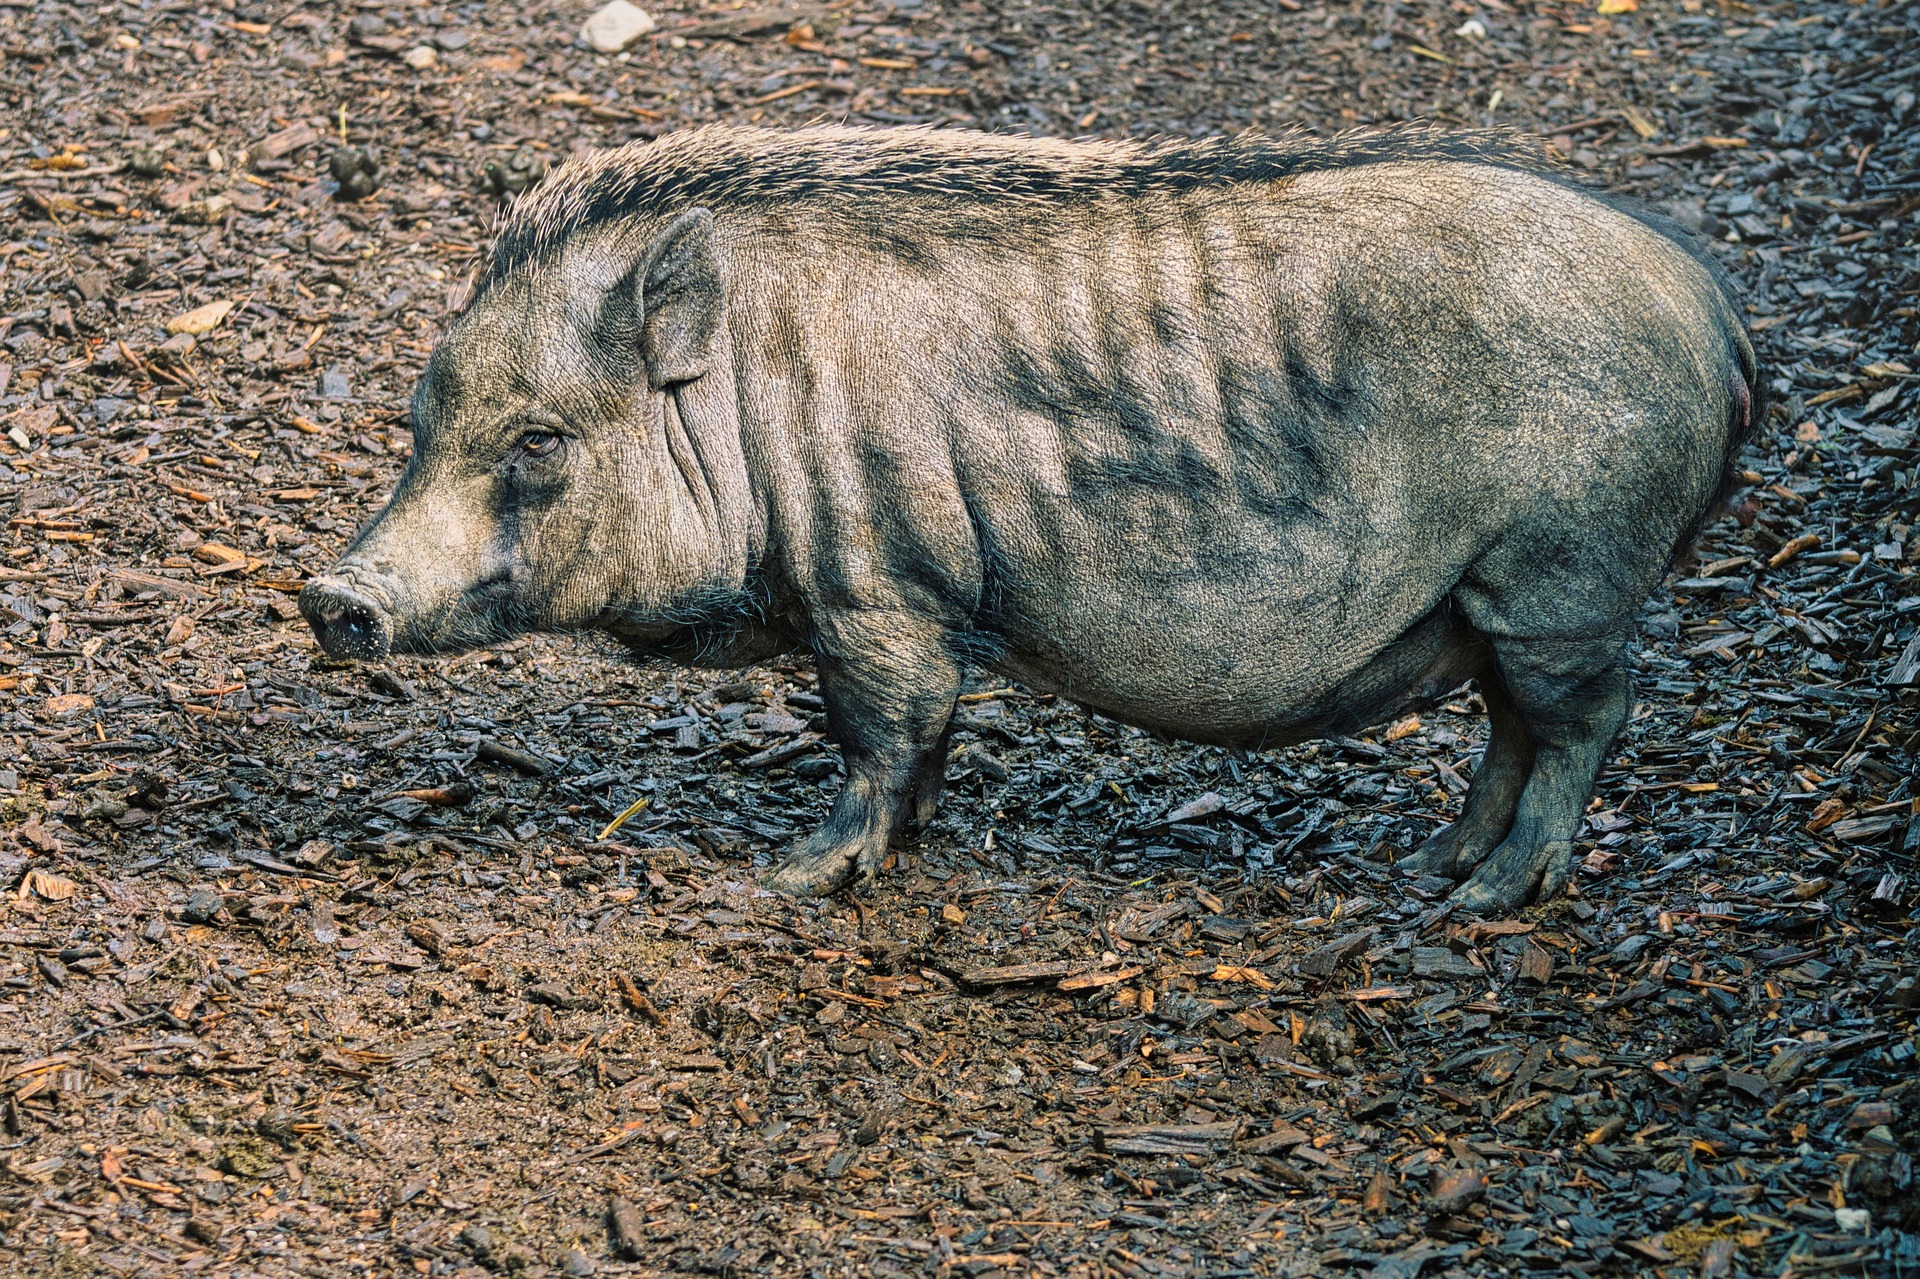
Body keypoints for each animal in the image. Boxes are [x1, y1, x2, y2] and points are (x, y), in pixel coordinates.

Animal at [301, 123, 1758, 913]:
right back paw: (1437, 865)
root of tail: (1715, 311)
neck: (744, 403)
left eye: (539, 441)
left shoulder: (875, 586)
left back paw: (1497, 895)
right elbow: (928, 737)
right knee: (1514, 721)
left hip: (1562, 569)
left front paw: (790, 876)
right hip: (1509, 591)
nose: (331, 597)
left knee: (1584, 714)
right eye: (420, 421)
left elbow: (880, 730)